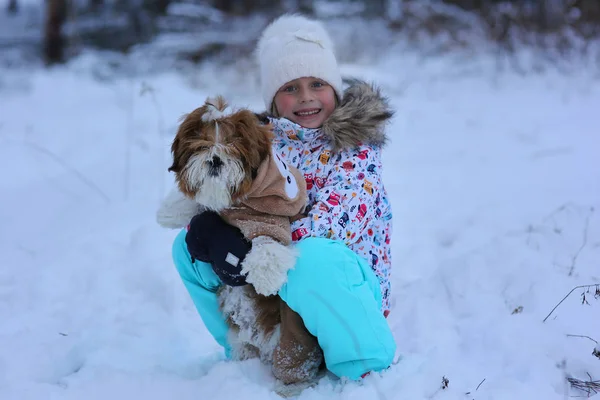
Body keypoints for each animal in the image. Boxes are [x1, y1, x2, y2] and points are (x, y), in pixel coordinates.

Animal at [157, 96, 310, 362]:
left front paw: (266, 279)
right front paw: (169, 210)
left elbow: (268, 247)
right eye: (202, 145)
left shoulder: (270, 221)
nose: (215, 159)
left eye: (232, 144)